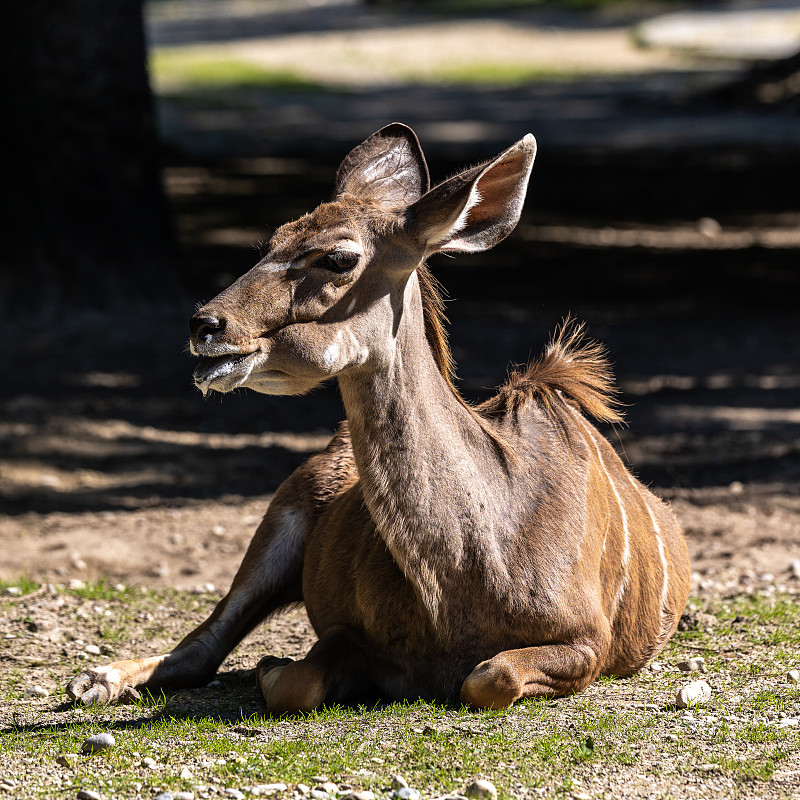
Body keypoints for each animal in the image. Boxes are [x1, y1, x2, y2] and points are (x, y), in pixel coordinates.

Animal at [69, 125, 692, 712]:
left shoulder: (588, 642)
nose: (206, 326)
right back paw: (93, 681)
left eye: (337, 256)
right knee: (204, 643)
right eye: (271, 241)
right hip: (280, 521)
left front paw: (269, 663)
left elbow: (489, 677)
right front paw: (271, 663)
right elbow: (299, 679)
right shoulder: (351, 633)